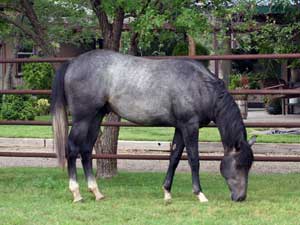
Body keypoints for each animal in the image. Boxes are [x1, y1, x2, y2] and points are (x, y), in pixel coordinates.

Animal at [51, 50, 255, 203]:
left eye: (249, 165)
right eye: (239, 165)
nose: (241, 197)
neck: (200, 86)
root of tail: (72, 62)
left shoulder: (180, 128)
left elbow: (174, 157)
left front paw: (167, 192)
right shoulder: (190, 126)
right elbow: (194, 159)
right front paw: (200, 194)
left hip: (96, 117)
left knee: (86, 150)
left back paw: (96, 192)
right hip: (82, 119)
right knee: (72, 149)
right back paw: (76, 193)